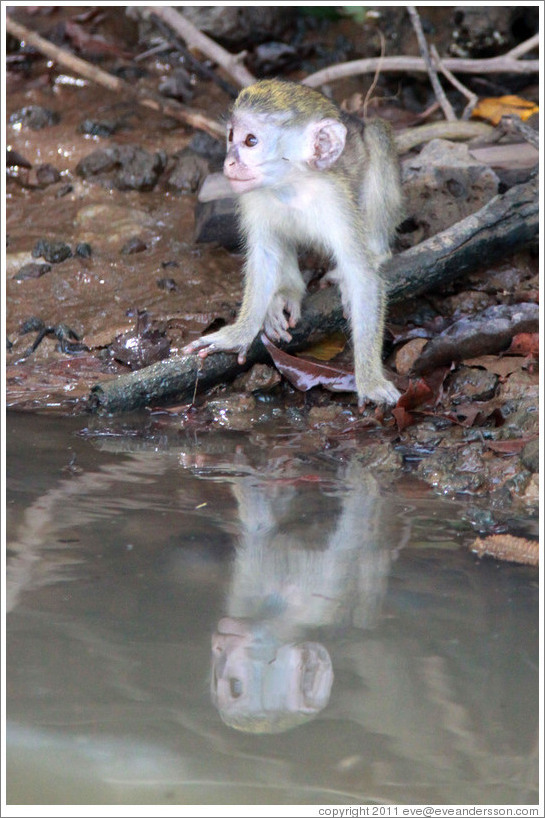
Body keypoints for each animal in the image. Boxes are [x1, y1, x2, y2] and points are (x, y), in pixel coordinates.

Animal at [185, 79, 402, 404]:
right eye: (231, 136)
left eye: (251, 141)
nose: (230, 162)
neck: (290, 186)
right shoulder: (254, 198)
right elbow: (264, 253)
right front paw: (239, 333)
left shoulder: (335, 199)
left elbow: (363, 276)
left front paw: (370, 379)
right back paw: (286, 294)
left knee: (378, 133)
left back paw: (375, 253)